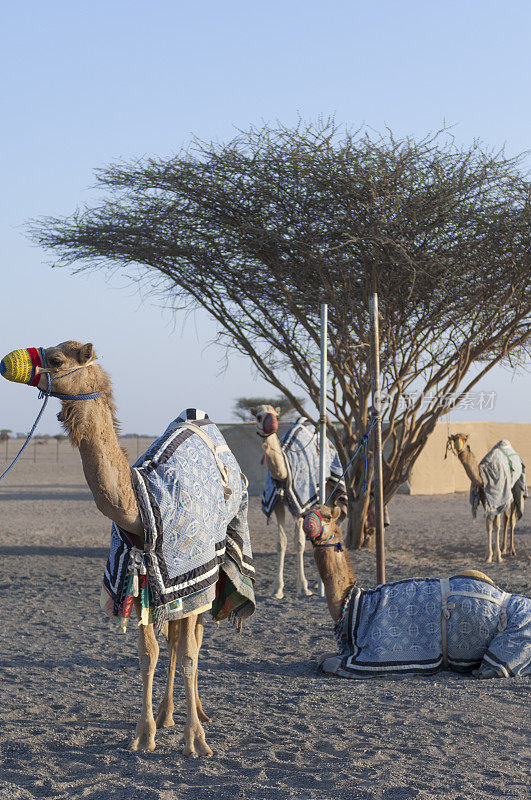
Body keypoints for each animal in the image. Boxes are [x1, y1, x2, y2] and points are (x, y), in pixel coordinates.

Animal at [1, 342, 256, 756]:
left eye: (56, 359)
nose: (7, 362)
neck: (141, 510)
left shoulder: (192, 576)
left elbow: (190, 655)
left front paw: (195, 743)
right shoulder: (140, 581)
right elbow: (148, 654)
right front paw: (144, 734)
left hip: (213, 569)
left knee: (195, 639)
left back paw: (199, 715)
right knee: (174, 640)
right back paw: (168, 714)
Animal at [254, 404, 350, 596]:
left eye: (276, 415)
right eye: (259, 416)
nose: (272, 424)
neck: (283, 476)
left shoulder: (300, 507)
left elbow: (298, 542)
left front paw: (304, 587)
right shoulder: (278, 504)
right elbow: (280, 542)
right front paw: (277, 589)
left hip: (329, 491)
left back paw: (320, 585)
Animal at [302, 504, 528, 680]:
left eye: (327, 516)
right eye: (306, 512)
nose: (307, 523)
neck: (352, 601)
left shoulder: (370, 654)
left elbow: (328, 663)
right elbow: (321, 657)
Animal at [448, 432, 528, 564]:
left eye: (465, 438)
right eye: (454, 439)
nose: (459, 447)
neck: (483, 477)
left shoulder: (498, 497)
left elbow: (497, 525)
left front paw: (498, 556)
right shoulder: (486, 500)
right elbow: (489, 526)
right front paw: (489, 556)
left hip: (514, 488)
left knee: (512, 518)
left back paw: (512, 550)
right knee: (506, 517)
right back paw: (503, 548)